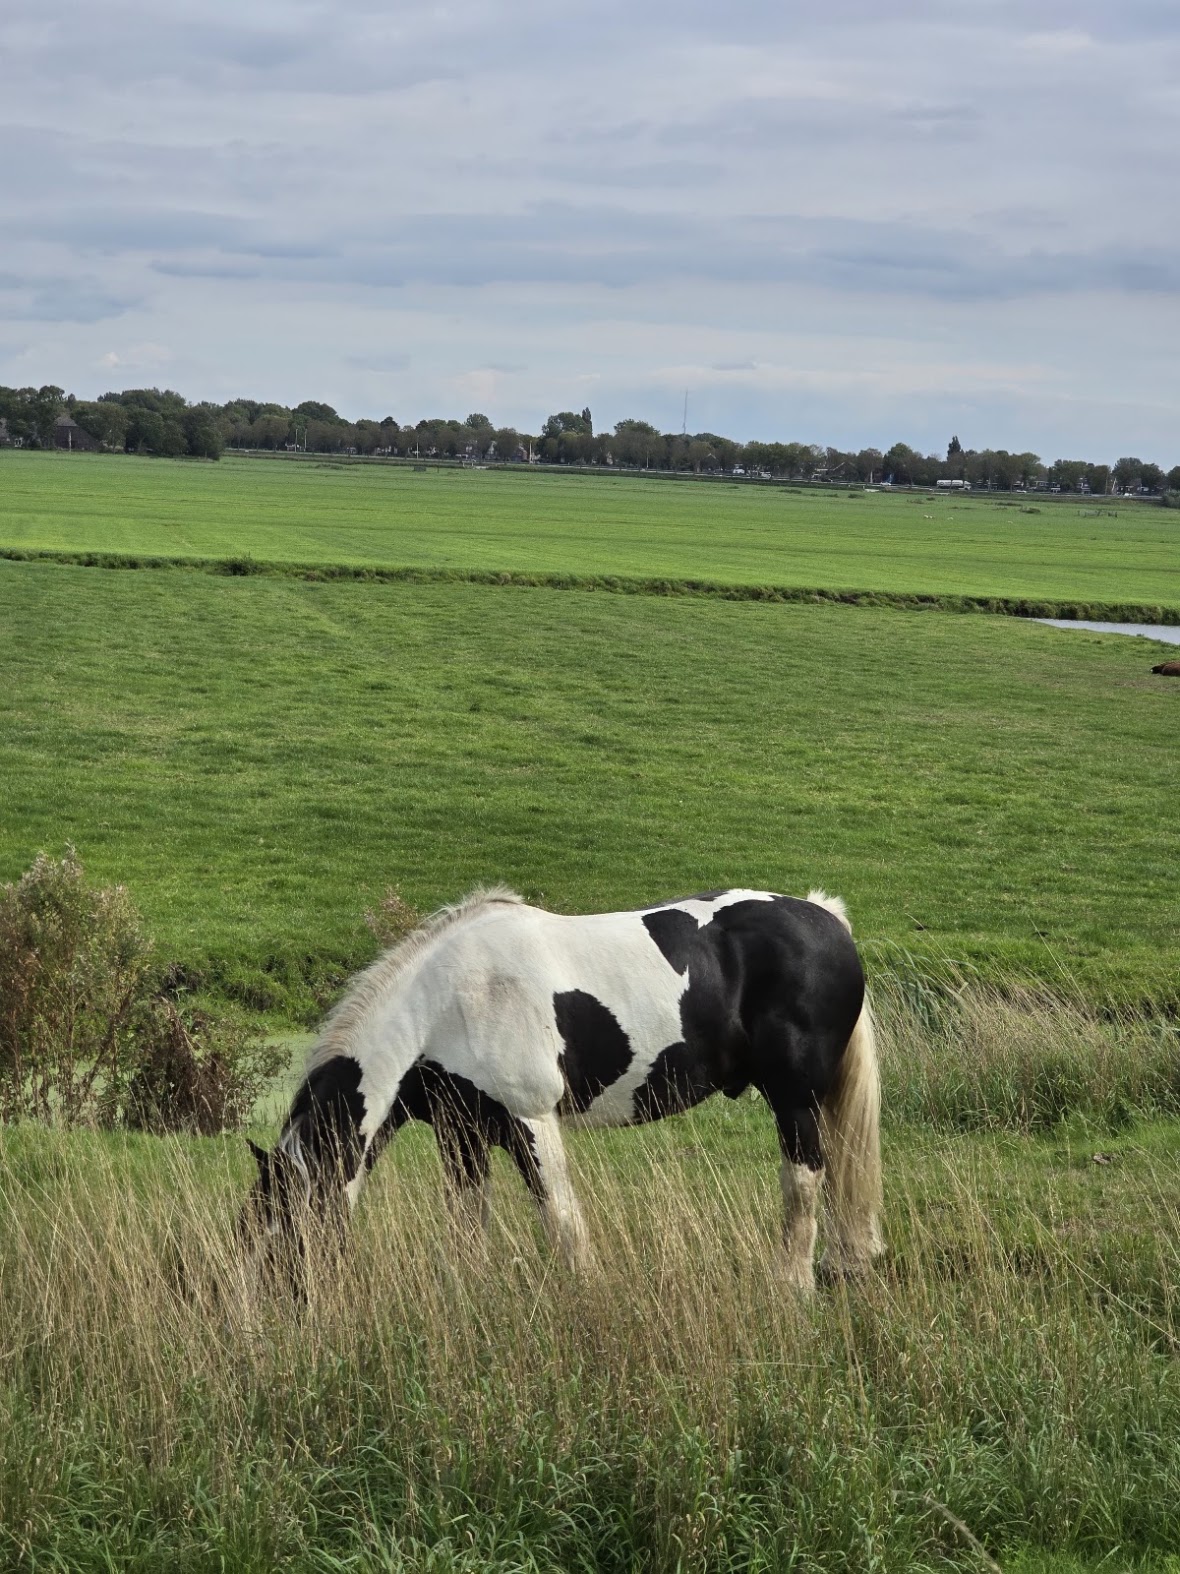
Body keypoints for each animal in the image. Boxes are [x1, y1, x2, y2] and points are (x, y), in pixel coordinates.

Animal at [240, 886, 884, 1294]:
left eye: (282, 1230)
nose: (274, 1313)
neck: (445, 1006)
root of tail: (828, 919)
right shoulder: (461, 1134)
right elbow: (466, 1224)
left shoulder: (531, 1121)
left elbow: (562, 1223)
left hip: (794, 1100)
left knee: (804, 1180)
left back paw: (791, 1285)